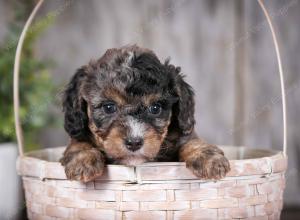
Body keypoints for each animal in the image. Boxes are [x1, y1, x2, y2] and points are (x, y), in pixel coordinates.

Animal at [60, 44, 230, 182]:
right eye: (108, 107)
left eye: (155, 108)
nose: (134, 142)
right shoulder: (78, 134)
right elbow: (78, 143)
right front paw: (83, 161)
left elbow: (192, 141)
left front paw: (210, 159)